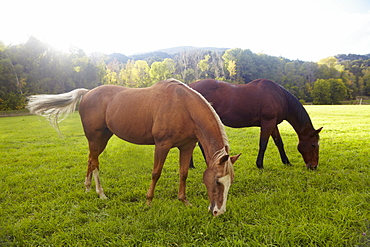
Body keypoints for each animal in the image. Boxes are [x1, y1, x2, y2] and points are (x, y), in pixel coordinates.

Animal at [26, 79, 240, 216]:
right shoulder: (162, 145)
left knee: (90, 160)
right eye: (218, 182)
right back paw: (101, 193)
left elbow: (184, 173)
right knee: (95, 163)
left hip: (102, 139)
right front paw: (148, 201)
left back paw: (87, 189)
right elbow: (156, 173)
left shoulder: (187, 146)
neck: (183, 106)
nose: (219, 212)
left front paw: (184, 201)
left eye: (230, 182)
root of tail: (87, 93)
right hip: (95, 138)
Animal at [189, 79, 322, 170]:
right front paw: (260, 165)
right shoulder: (267, 123)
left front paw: (286, 162)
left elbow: (279, 143)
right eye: (314, 145)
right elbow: (263, 144)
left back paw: (192, 165)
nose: (314, 166)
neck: (281, 97)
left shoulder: (273, 124)